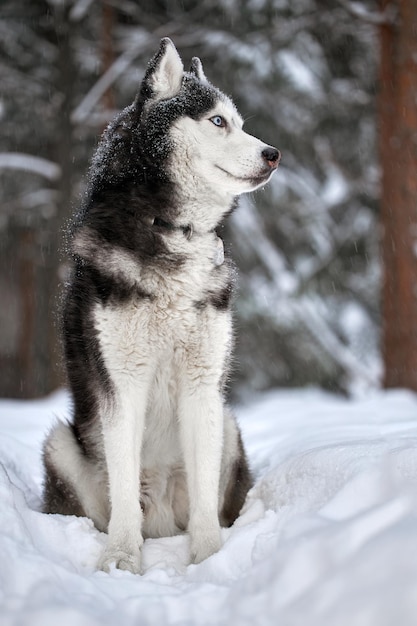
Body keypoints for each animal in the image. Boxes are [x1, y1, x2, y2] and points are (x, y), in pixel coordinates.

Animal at [43, 35, 280, 572]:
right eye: (218, 121)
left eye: (240, 122)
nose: (273, 153)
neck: (172, 228)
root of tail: (161, 521)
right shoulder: (122, 384)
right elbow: (123, 483)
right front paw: (121, 559)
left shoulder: (203, 384)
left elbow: (205, 500)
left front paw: (209, 558)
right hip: (62, 444)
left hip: (227, 425)